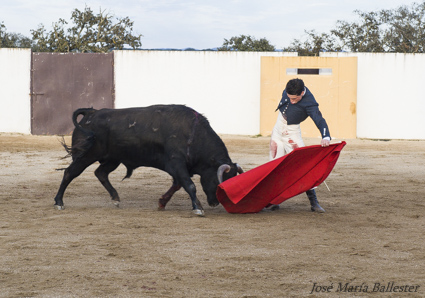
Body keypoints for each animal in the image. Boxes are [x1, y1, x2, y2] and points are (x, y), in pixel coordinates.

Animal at [53, 105, 242, 217]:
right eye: (219, 182)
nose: (214, 202)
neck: (193, 134)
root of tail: (91, 113)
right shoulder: (177, 163)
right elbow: (189, 185)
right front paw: (198, 208)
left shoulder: (179, 168)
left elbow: (177, 185)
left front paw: (162, 203)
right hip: (86, 155)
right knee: (70, 172)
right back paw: (59, 202)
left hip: (113, 159)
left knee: (100, 173)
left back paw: (115, 198)